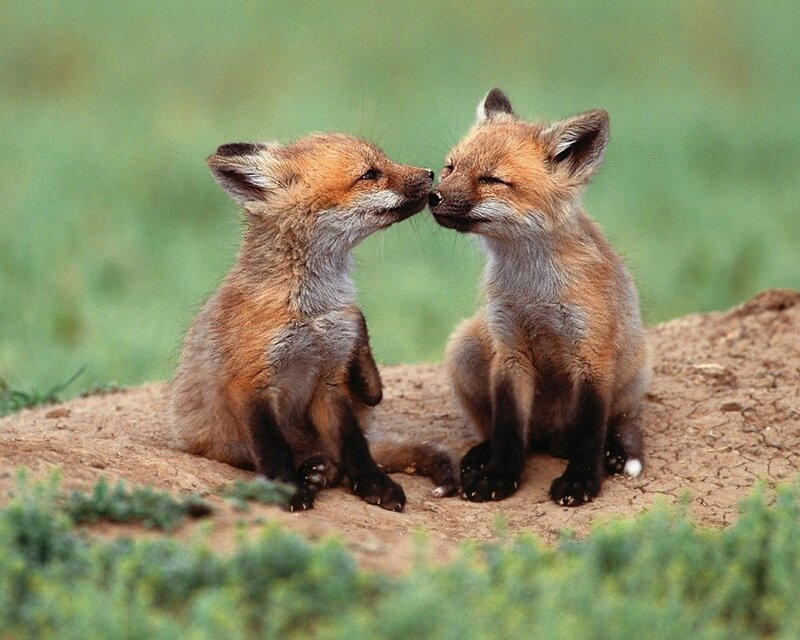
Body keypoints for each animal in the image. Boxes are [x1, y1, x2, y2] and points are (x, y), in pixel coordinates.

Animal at [169, 133, 457, 512]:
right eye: (369, 174)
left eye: (383, 161)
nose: (430, 173)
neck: (312, 311)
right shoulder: (249, 383)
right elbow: (273, 449)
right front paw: (287, 490)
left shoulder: (329, 380)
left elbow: (354, 445)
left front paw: (374, 484)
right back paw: (314, 471)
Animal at [428, 88, 650, 506]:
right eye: (450, 168)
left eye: (492, 179)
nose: (432, 196)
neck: (532, 288)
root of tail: (551, 438)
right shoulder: (509, 348)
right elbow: (509, 428)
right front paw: (499, 476)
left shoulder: (592, 354)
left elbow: (588, 433)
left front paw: (581, 481)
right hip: (465, 345)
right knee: (518, 436)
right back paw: (483, 453)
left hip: (633, 372)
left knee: (614, 424)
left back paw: (612, 452)